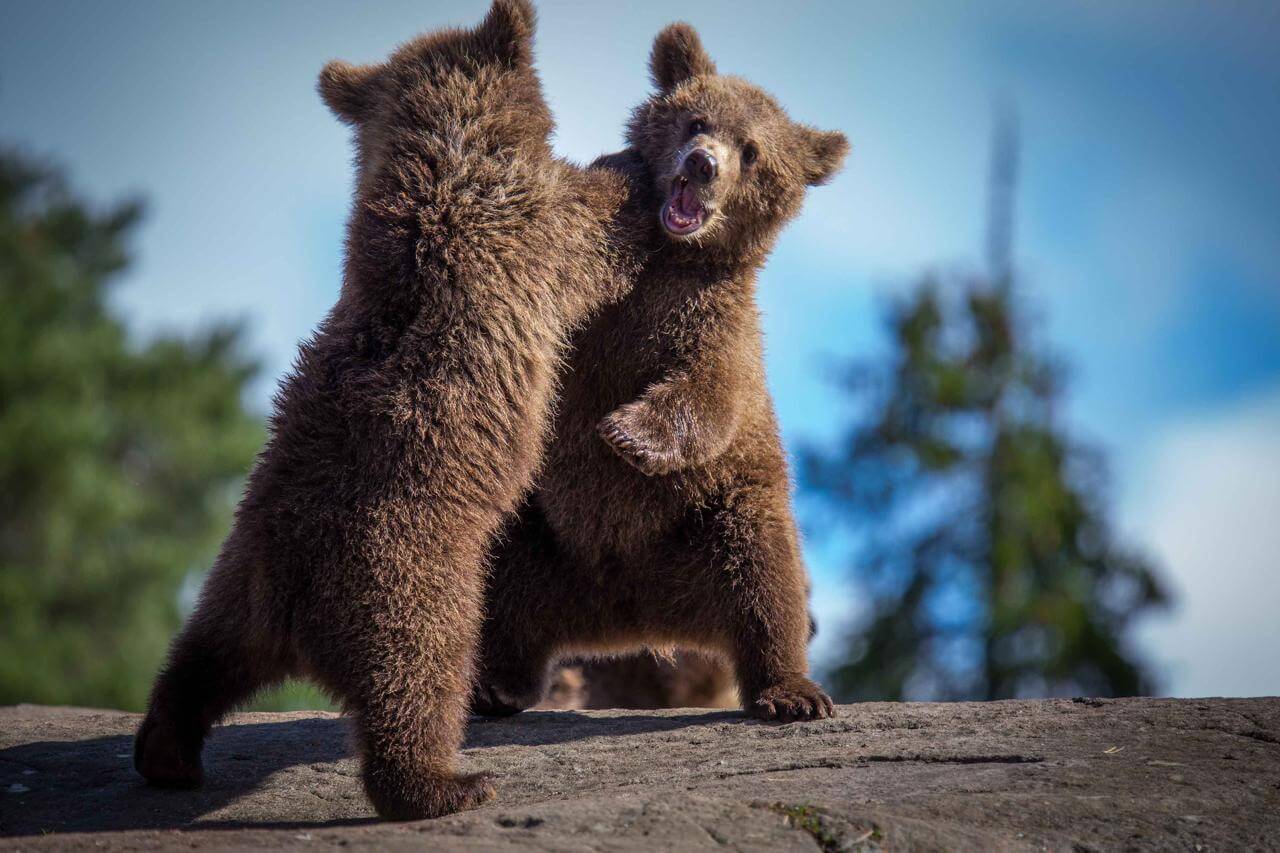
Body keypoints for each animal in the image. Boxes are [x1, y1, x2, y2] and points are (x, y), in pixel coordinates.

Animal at [134, 0, 650, 821]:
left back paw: (167, 750)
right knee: (418, 681)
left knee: (200, 657)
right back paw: (448, 781)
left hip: (238, 574)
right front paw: (630, 169)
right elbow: (593, 229)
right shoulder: (528, 237)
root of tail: (295, 615)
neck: (445, 163)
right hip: (412, 577)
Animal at [472, 22, 848, 723]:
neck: (675, 256)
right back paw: (496, 684)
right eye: (697, 120)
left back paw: (790, 691)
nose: (703, 162)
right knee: (498, 581)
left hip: (712, 519)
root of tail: (630, 615)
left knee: (766, 578)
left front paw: (627, 433)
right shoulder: (602, 290)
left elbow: (707, 392)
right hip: (539, 525)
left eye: (752, 151)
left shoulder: (714, 325)